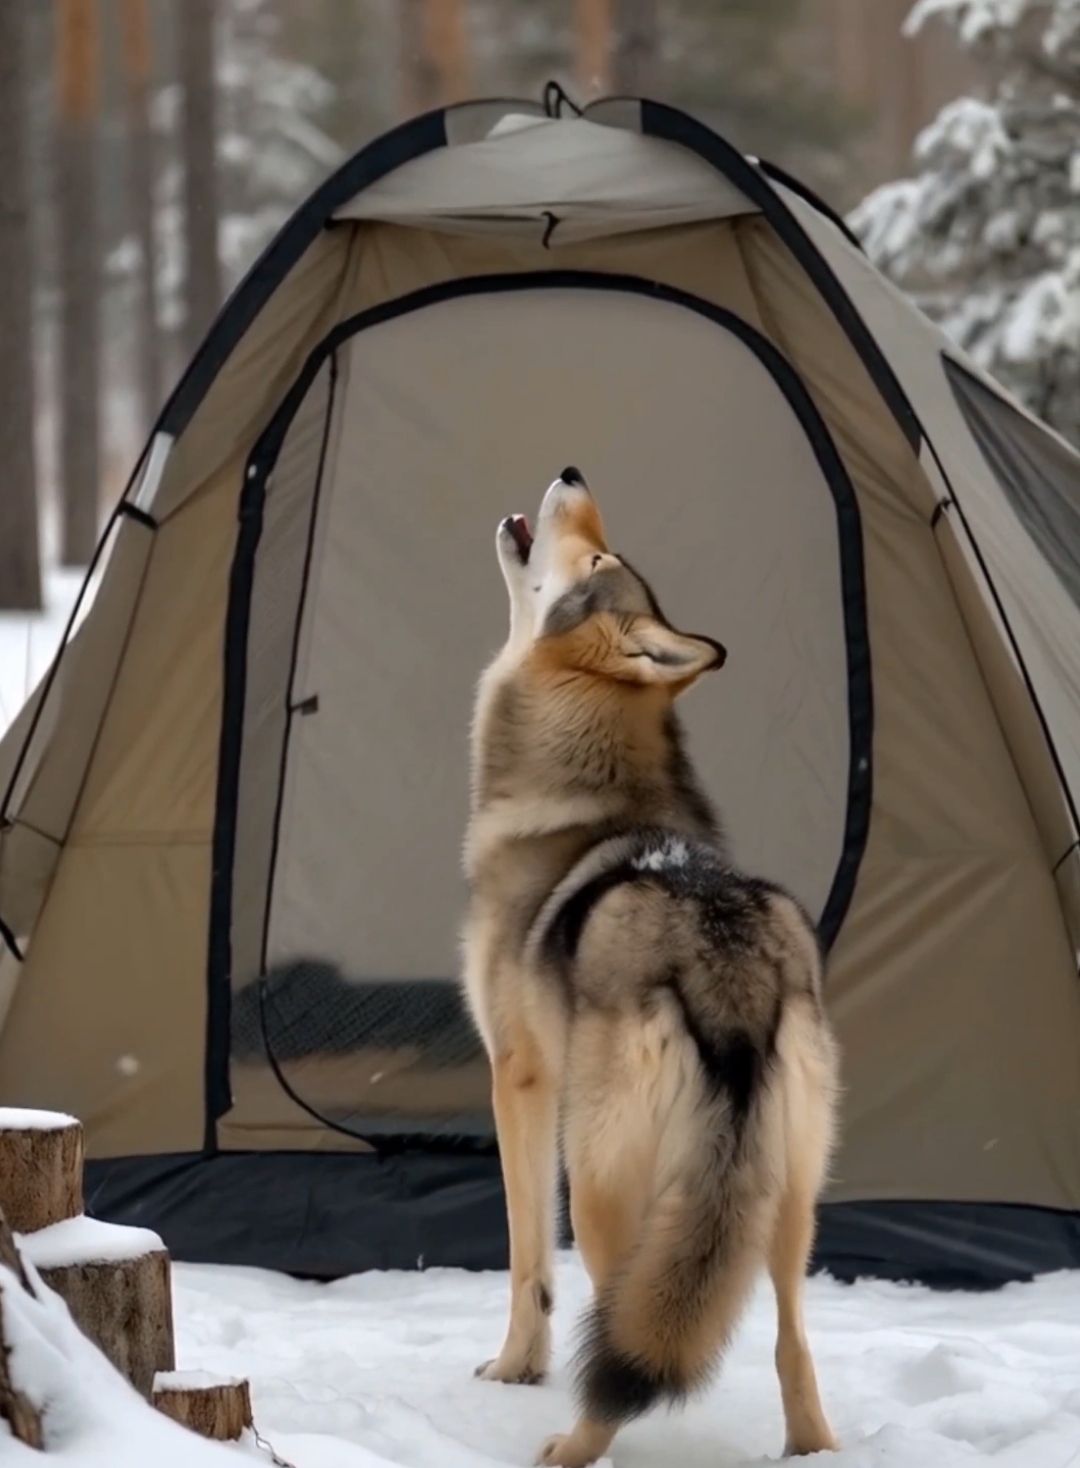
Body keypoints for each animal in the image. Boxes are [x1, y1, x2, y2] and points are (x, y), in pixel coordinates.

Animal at [460, 469, 839, 1468]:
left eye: (597, 560)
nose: (573, 471)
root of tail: (728, 974)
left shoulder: (517, 1078)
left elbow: (525, 1257)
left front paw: (513, 1370)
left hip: (602, 1184)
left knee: (619, 1319)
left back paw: (572, 1444)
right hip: (790, 1202)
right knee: (792, 1341)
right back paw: (813, 1448)